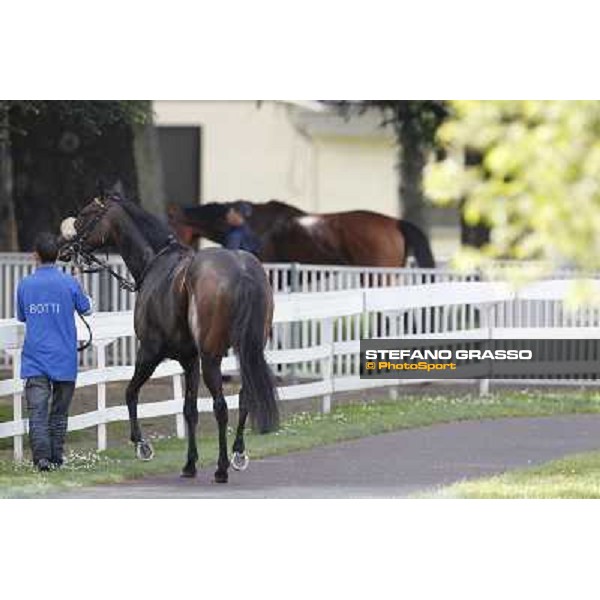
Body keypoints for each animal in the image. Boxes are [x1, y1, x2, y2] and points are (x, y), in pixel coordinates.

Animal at [58, 197, 278, 482]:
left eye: (86, 215)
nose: (64, 250)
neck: (157, 263)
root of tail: (241, 271)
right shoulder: (190, 360)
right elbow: (189, 409)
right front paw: (190, 463)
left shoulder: (150, 353)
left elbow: (131, 393)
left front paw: (142, 445)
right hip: (246, 352)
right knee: (245, 398)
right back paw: (238, 454)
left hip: (211, 358)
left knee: (220, 407)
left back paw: (221, 468)